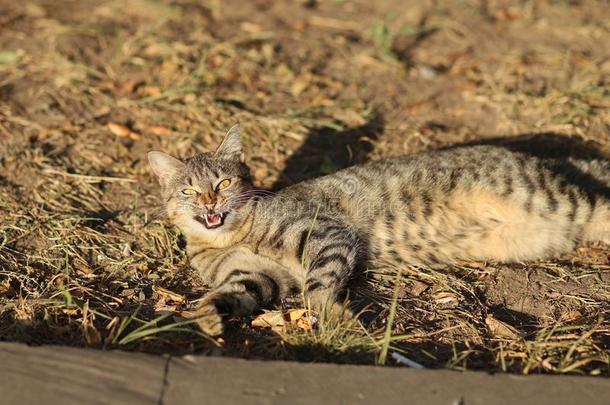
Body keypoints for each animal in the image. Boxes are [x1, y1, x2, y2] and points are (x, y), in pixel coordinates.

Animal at [147, 125, 608, 334]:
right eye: (189, 190)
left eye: (224, 183)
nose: (210, 203)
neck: (230, 235)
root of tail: (541, 159)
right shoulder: (255, 275)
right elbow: (229, 293)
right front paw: (205, 316)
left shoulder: (324, 234)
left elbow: (317, 288)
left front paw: (338, 319)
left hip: (544, 196)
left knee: (600, 204)